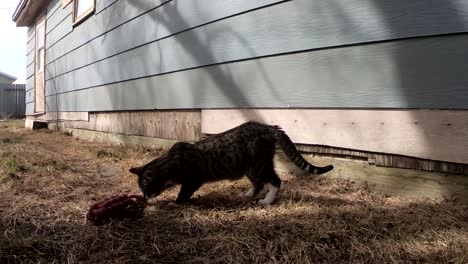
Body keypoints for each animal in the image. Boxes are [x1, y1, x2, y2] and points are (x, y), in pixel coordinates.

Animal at [129, 120, 332, 205]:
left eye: (145, 188)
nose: (144, 198)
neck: (172, 164)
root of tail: (268, 127)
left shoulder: (192, 181)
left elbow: (183, 193)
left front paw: (176, 203)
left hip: (258, 165)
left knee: (275, 181)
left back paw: (266, 201)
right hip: (249, 167)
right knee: (258, 184)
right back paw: (247, 194)